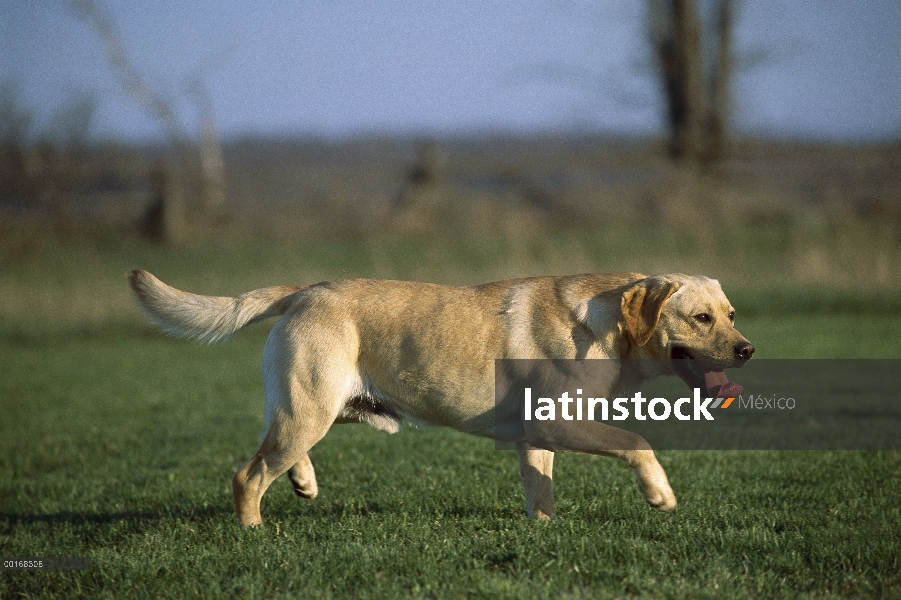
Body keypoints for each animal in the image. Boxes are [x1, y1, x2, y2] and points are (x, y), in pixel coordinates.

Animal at [128, 270, 752, 528]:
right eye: (701, 319)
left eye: (731, 314)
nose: (747, 350)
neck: (608, 329)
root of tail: (306, 290)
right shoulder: (562, 424)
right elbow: (637, 439)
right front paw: (660, 495)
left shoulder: (535, 437)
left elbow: (540, 491)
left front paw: (544, 531)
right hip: (310, 410)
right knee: (247, 475)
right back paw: (254, 532)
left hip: (320, 408)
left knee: (270, 446)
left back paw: (303, 483)